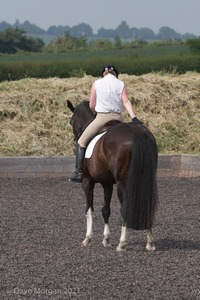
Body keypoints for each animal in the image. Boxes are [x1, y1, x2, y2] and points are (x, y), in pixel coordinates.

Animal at [67, 100, 159, 251]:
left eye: (71, 121)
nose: (76, 139)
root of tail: (138, 133)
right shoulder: (107, 183)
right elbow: (106, 209)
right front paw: (106, 239)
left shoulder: (87, 182)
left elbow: (89, 209)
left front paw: (88, 239)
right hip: (146, 180)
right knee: (147, 205)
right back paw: (150, 243)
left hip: (123, 183)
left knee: (125, 208)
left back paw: (122, 243)